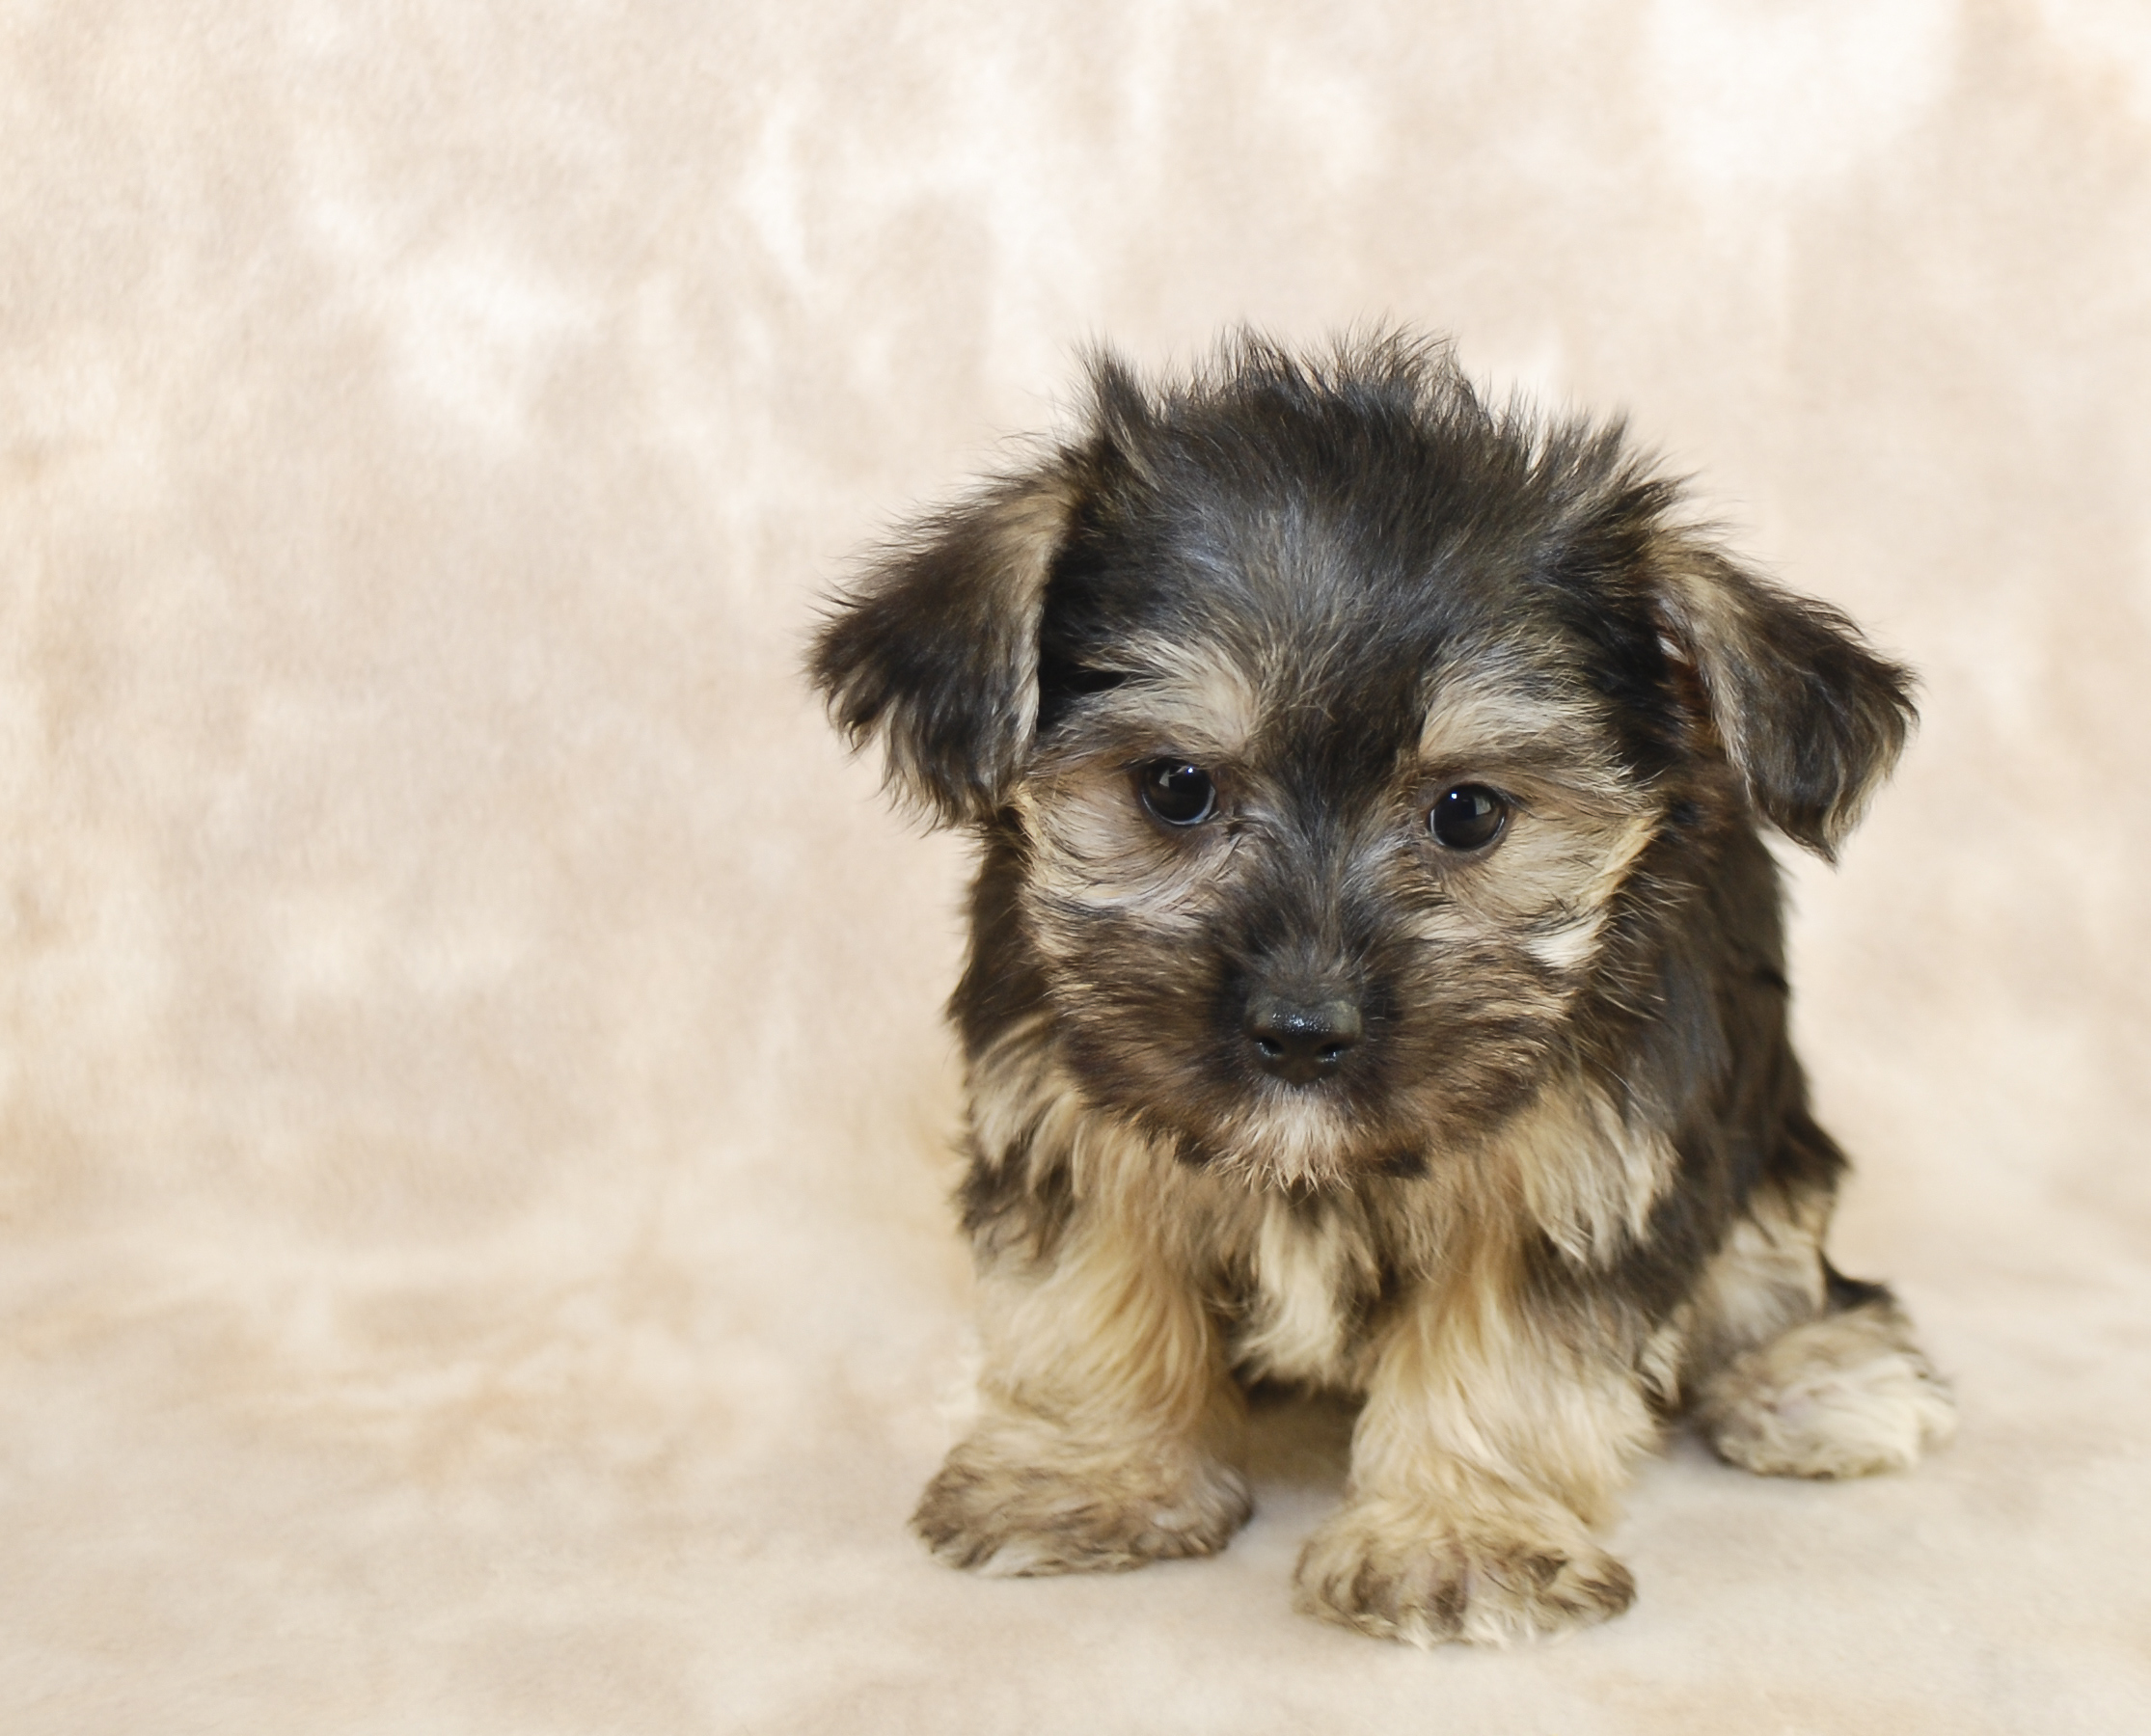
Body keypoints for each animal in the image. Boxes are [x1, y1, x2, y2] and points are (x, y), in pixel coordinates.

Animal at [808, 335, 1952, 1643]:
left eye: (1468, 812)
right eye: (1174, 788)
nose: (1303, 1033)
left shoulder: (1574, 1174)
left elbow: (1504, 1351)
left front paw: (1456, 1535)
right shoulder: (1064, 1107)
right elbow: (1088, 1287)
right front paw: (1089, 1475)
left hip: (1766, 1134)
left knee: (1784, 1258)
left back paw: (1817, 1379)